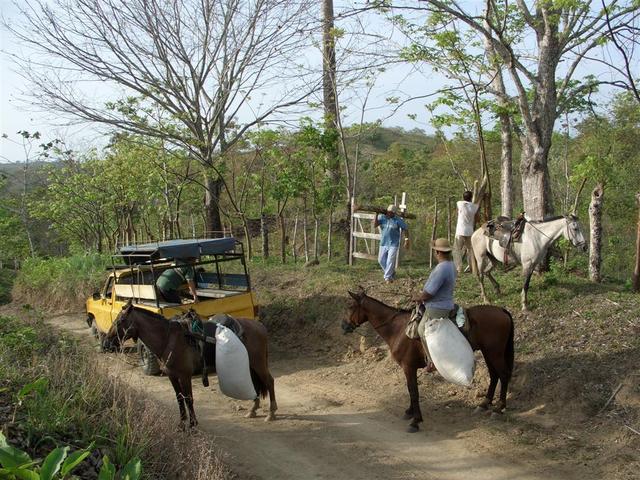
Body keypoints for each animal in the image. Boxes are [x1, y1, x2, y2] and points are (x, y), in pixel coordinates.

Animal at [105, 302, 278, 430]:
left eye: (119, 321)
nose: (106, 343)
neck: (169, 340)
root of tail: (259, 326)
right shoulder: (172, 376)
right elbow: (179, 398)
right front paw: (182, 424)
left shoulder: (184, 376)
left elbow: (188, 398)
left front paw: (193, 424)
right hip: (251, 365)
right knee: (256, 384)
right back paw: (253, 410)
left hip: (258, 362)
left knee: (269, 381)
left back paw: (271, 413)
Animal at [340, 290, 516, 434]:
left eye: (350, 306)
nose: (343, 326)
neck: (398, 328)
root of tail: (502, 311)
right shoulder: (409, 368)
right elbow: (411, 389)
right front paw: (410, 412)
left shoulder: (408, 367)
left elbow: (413, 391)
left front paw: (415, 421)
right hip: (488, 352)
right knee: (494, 375)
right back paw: (484, 404)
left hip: (494, 353)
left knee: (503, 374)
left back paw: (499, 408)